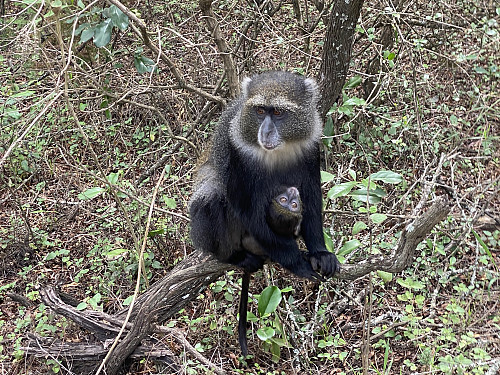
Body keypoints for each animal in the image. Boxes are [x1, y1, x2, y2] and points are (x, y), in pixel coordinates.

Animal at [189, 72, 342, 356]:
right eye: (260, 111)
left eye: (278, 112)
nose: (266, 131)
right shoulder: (237, 152)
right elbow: (247, 208)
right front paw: (296, 261)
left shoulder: (310, 147)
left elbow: (312, 198)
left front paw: (320, 253)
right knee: (211, 197)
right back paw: (235, 257)